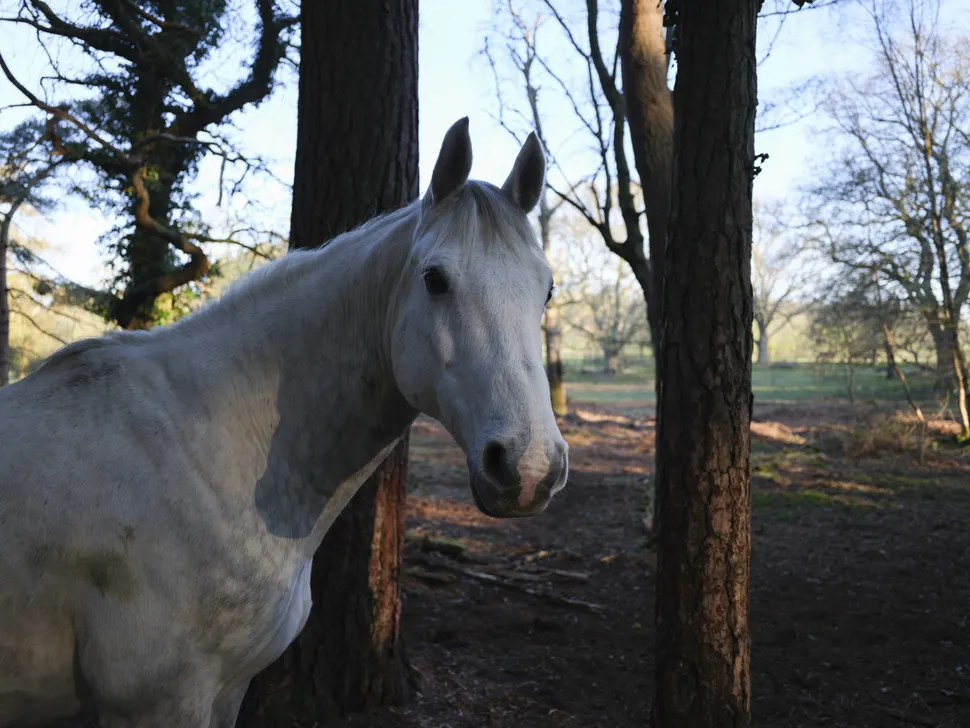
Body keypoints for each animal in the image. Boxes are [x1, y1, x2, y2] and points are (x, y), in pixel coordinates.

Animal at [0, 117, 568, 728]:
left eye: (547, 288)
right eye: (435, 279)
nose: (529, 466)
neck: (208, 450)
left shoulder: (228, 692)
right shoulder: (157, 704)